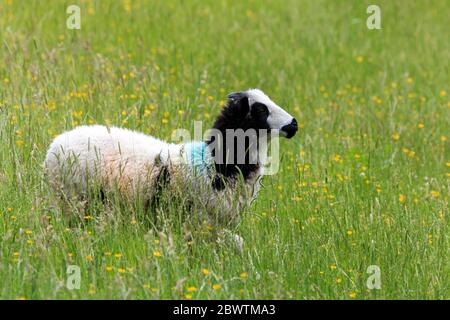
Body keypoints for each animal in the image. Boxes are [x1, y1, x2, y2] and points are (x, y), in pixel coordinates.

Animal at [44, 89, 298, 226]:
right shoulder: (199, 220)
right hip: (71, 200)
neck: (216, 164)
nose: (294, 124)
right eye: (261, 109)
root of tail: (56, 143)